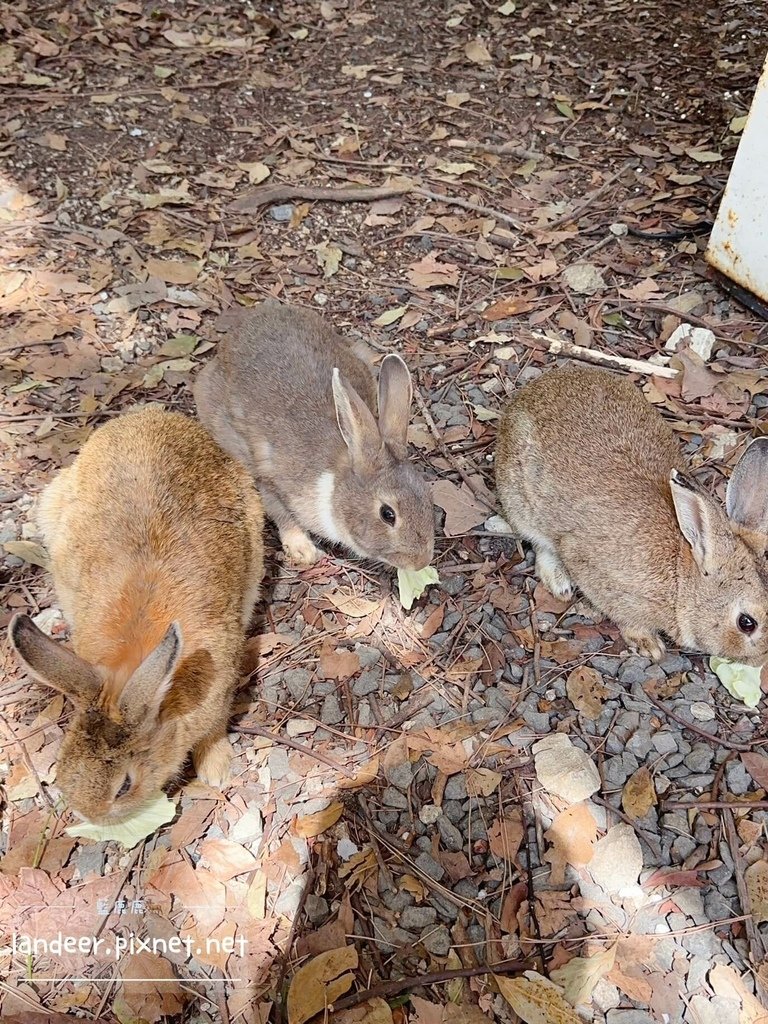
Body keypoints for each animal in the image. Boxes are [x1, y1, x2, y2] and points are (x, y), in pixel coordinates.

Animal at [6, 405, 268, 823]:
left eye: (124, 786)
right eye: (62, 765)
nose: (89, 819)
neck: (129, 667)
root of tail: (146, 415)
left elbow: (213, 729)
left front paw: (216, 769)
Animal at [495, 368, 768, 663]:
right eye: (746, 623)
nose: (761, 662)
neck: (681, 583)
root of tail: (526, 394)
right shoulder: (602, 577)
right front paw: (649, 645)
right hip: (522, 504)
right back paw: (560, 584)